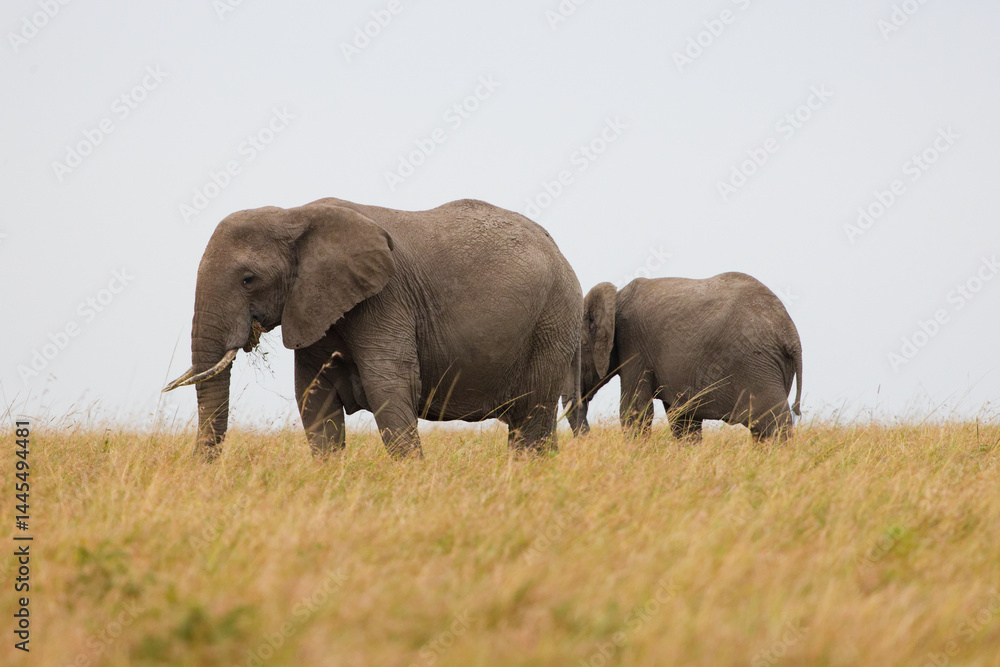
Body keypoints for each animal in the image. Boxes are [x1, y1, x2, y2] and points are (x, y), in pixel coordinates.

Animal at [164, 197, 583, 459]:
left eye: (249, 279)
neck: (295, 214)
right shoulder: (314, 307)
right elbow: (313, 398)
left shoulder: (385, 299)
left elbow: (389, 387)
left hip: (553, 322)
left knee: (533, 419)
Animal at [563, 273, 802, 440]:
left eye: (579, 351)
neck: (616, 298)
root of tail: (791, 335)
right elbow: (683, 418)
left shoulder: (634, 347)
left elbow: (635, 410)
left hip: (757, 365)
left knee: (772, 424)